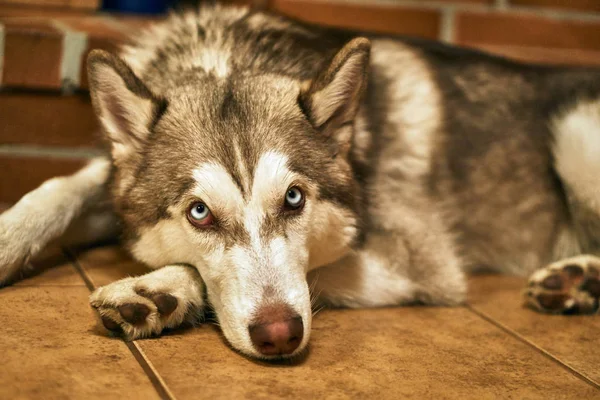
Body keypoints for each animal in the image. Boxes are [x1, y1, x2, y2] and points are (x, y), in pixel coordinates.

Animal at [1, 3, 600, 360]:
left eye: (293, 198)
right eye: (199, 212)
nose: (279, 336)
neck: (226, 58)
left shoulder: (424, 261)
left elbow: (297, 279)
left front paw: (160, 290)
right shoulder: (113, 180)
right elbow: (63, 186)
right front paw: (10, 239)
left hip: (574, 129)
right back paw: (575, 281)